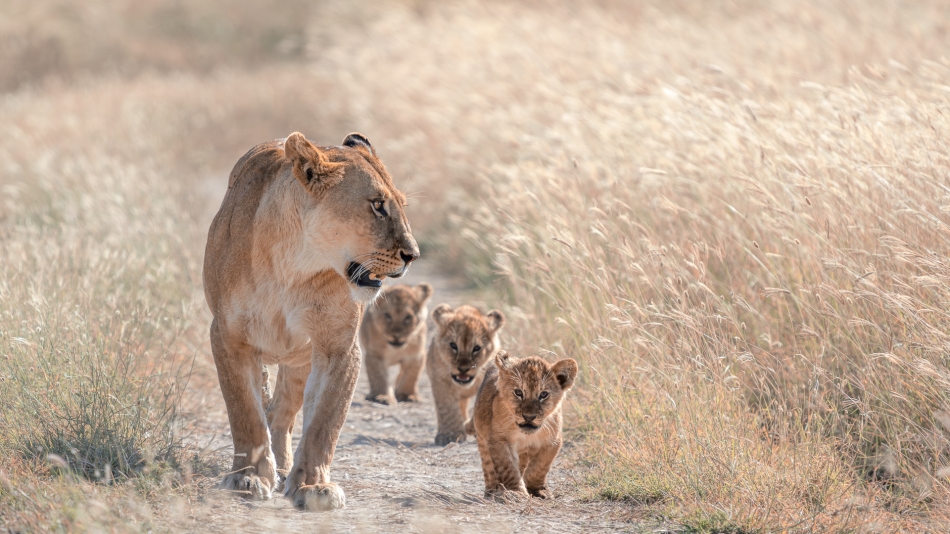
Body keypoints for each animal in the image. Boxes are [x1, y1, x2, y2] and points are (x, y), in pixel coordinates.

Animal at [203, 132, 418, 512]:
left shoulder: (338, 347)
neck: (294, 265)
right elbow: (243, 411)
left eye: (401, 205)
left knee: (280, 413)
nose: (413, 255)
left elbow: (324, 422)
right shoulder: (228, 336)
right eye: (378, 205)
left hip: (300, 360)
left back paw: (283, 467)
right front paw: (247, 478)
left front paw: (313, 486)